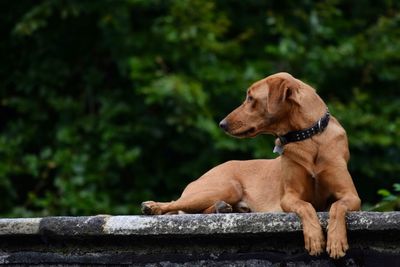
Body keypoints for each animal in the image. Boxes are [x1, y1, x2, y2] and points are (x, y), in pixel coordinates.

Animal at [142, 73, 360, 260]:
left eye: (251, 98)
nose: (221, 124)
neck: (309, 139)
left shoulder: (351, 196)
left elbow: (337, 207)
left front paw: (336, 241)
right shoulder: (289, 197)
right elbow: (306, 207)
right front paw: (315, 239)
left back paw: (223, 208)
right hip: (227, 187)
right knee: (176, 204)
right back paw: (153, 207)